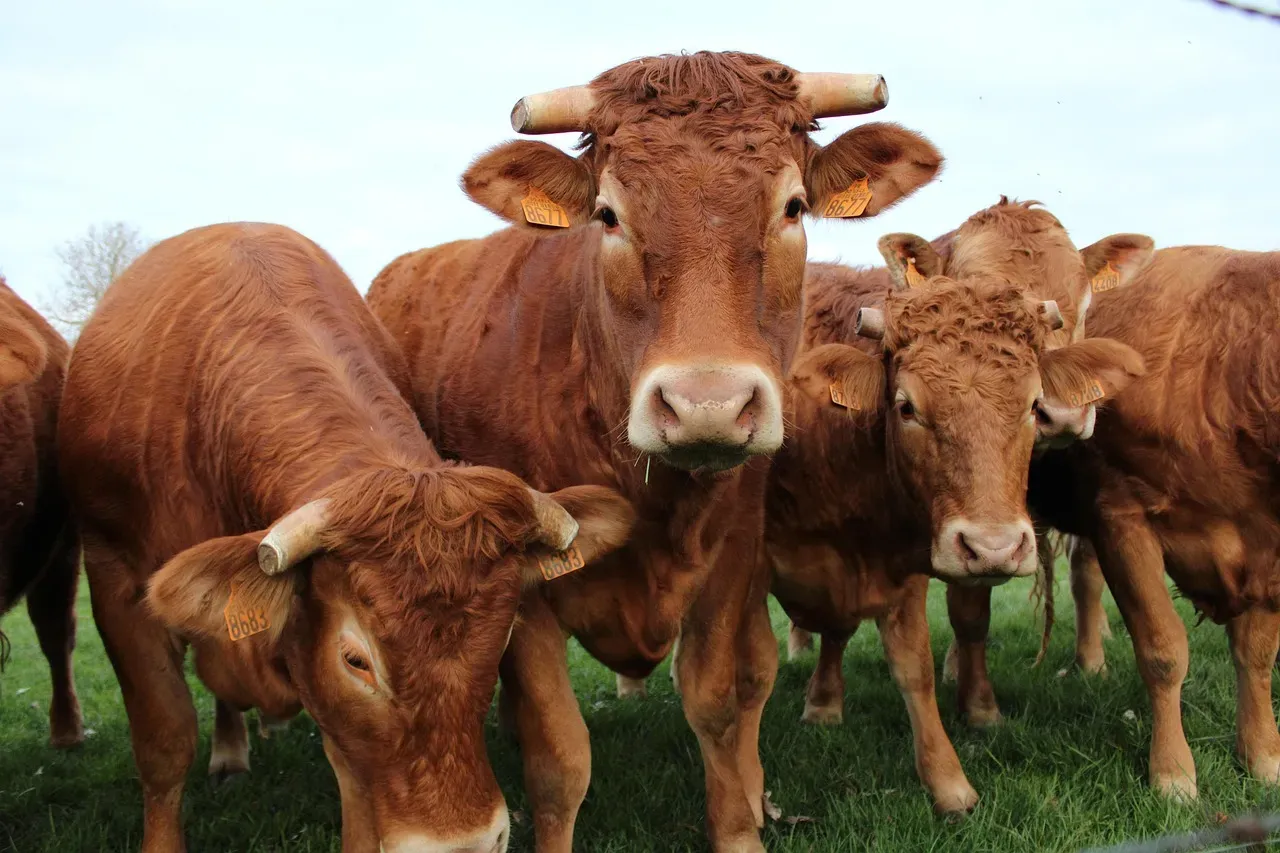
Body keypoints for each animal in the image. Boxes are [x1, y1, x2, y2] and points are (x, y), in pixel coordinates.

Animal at [57, 223, 634, 853]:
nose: (461, 842)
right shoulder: (113, 577)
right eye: (356, 659)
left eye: (503, 636)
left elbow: (353, 770)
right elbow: (164, 743)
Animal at [367, 51, 942, 851]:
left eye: (794, 207)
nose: (708, 404)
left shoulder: (733, 551)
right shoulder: (523, 581)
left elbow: (719, 703)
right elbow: (558, 755)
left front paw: (739, 829)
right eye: (609, 215)